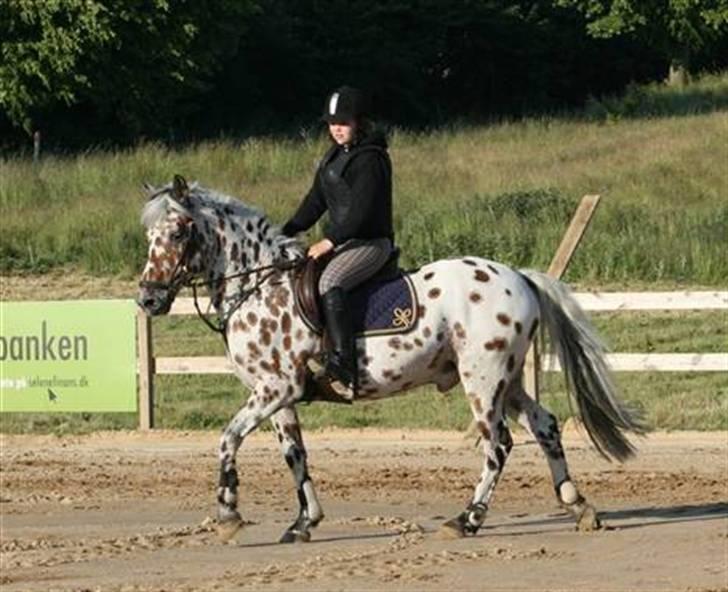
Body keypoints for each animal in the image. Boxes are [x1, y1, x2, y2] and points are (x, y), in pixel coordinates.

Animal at [138, 177, 644, 544]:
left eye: (178, 232)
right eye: (149, 236)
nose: (147, 299)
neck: (260, 285)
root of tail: (518, 276)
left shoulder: (274, 390)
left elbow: (227, 439)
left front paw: (228, 514)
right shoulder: (279, 397)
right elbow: (294, 455)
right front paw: (304, 522)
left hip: (482, 380)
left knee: (498, 444)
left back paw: (467, 519)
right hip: (510, 380)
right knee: (545, 426)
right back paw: (577, 505)